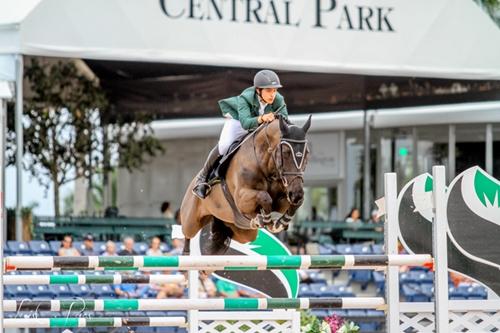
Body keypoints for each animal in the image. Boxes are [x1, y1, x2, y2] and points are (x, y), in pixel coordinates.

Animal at [182, 115, 310, 253]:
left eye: (307, 153)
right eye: (286, 152)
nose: (296, 194)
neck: (266, 165)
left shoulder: (281, 200)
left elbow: (294, 203)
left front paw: (281, 222)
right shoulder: (241, 198)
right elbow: (264, 196)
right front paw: (265, 219)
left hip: (242, 232)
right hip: (191, 222)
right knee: (186, 235)